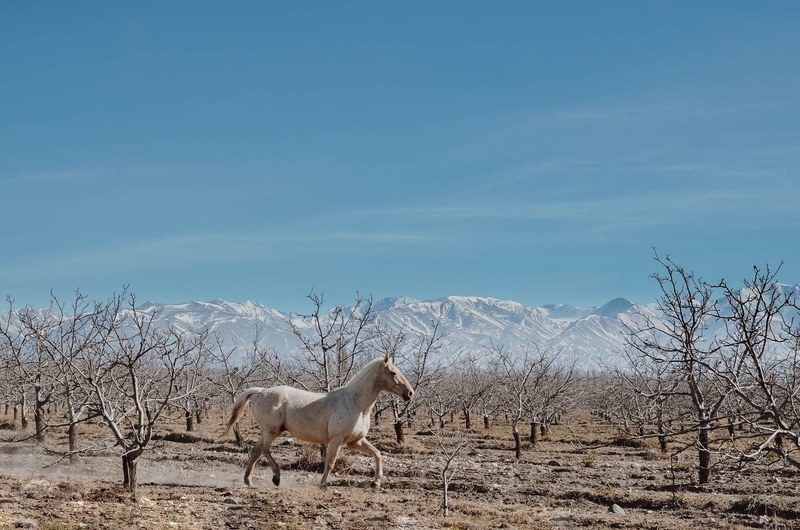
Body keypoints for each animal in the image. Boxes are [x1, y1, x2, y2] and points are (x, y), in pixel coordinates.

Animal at [223, 354, 414, 490]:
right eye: (393, 372)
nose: (410, 393)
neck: (356, 403)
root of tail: (261, 391)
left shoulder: (355, 441)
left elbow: (377, 454)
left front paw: (376, 483)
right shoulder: (336, 439)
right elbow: (330, 462)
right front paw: (322, 484)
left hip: (267, 432)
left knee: (256, 451)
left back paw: (249, 482)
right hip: (271, 431)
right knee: (263, 449)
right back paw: (276, 477)